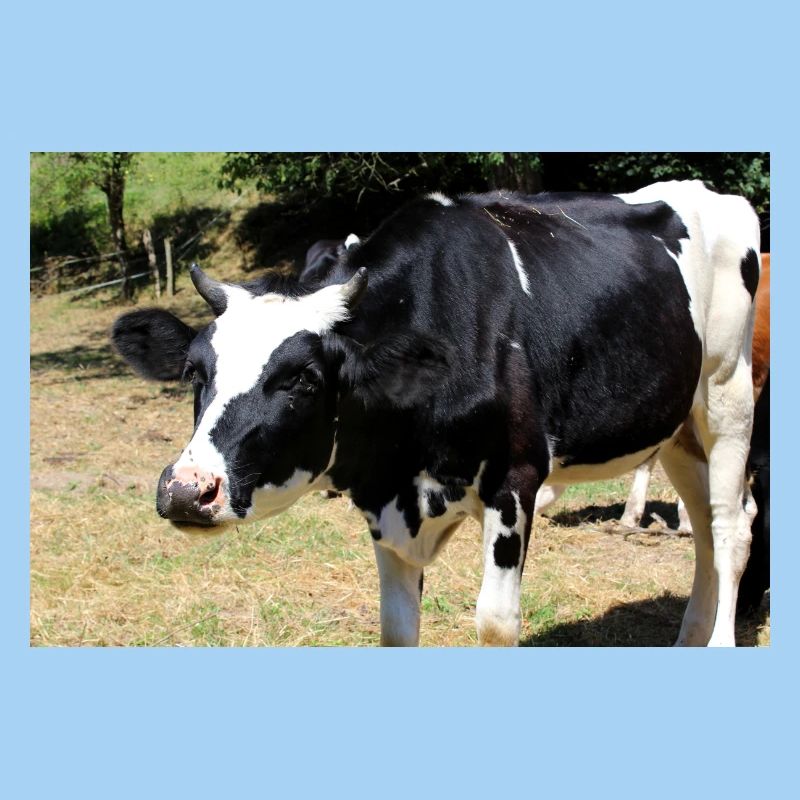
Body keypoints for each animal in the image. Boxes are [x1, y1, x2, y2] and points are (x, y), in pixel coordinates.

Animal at [112, 180, 760, 647]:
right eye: (195, 373)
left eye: (301, 379)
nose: (185, 490)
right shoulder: (385, 499)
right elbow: (398, 628)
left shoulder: (515, 479)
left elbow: (496, 622)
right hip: (677, 427)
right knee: (705, 525)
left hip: (728, 395)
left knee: (731, 526)